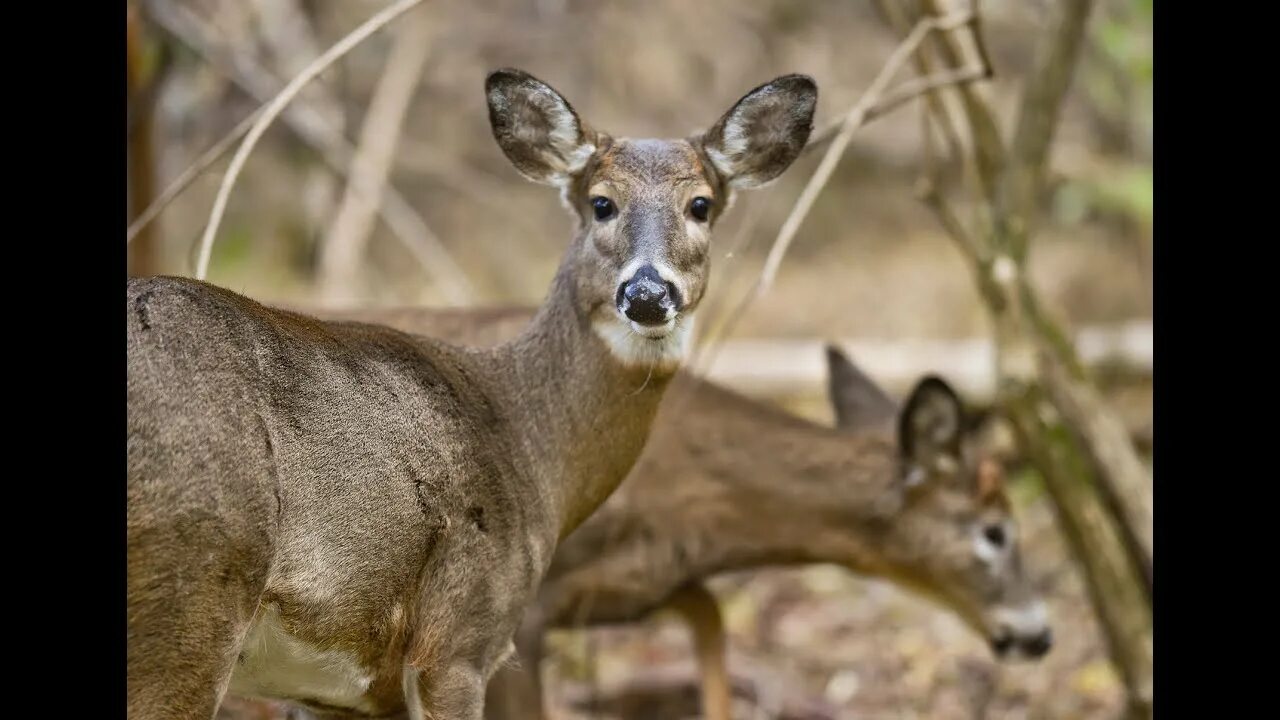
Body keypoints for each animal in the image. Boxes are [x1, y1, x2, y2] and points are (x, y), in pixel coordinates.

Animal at [124, 68, 814, 717]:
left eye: (700, 205)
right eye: (601, 203)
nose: (647, 293)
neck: (527, 444)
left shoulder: (337, 695)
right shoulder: (460, 636)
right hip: (194, 590)